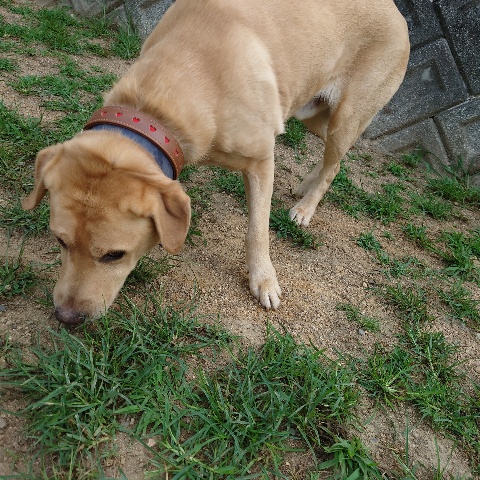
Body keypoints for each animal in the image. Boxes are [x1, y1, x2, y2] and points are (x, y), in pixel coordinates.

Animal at [23, 0, 409, 324]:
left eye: (114, 256)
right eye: (59, 241)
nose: (66, 317)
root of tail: (397, 11)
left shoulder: (261, 158)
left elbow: (257, 231)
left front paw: (263, 281)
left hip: (346, 117)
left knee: (336, 163)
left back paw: (305, 208)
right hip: (312, 112)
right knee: (331, 156)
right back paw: (304, 186)